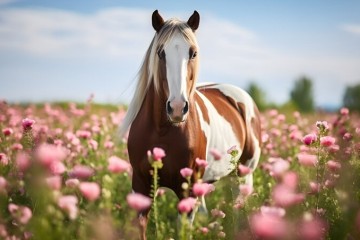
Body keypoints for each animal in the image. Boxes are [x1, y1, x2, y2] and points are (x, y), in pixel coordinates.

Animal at [121, 9, 262, 240]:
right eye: (160, 52)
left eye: (193, 53)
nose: (177, 108)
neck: (162, 131)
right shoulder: (141, 185)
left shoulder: (186, 190)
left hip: (243, 175)